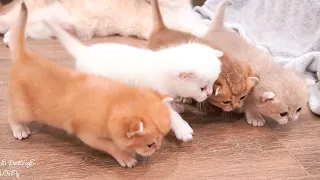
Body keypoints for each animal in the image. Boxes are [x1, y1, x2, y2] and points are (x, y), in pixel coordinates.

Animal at [7, 2, 172, 168]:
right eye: (150, 144)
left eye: (162, 137)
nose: (158, 147)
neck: (113, 104)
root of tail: (25, 57)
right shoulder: (89, 135)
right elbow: (111, 146)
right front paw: (125, 156)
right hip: (24, 109)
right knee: (13, 115)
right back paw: (19, 129)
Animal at [43, 20, 222, 142]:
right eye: (202, 88)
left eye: (212, 85)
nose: (209, 94)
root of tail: (84, 51)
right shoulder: (155, 95)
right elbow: (171, 115)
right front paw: (183, 129)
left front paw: (177, 105)